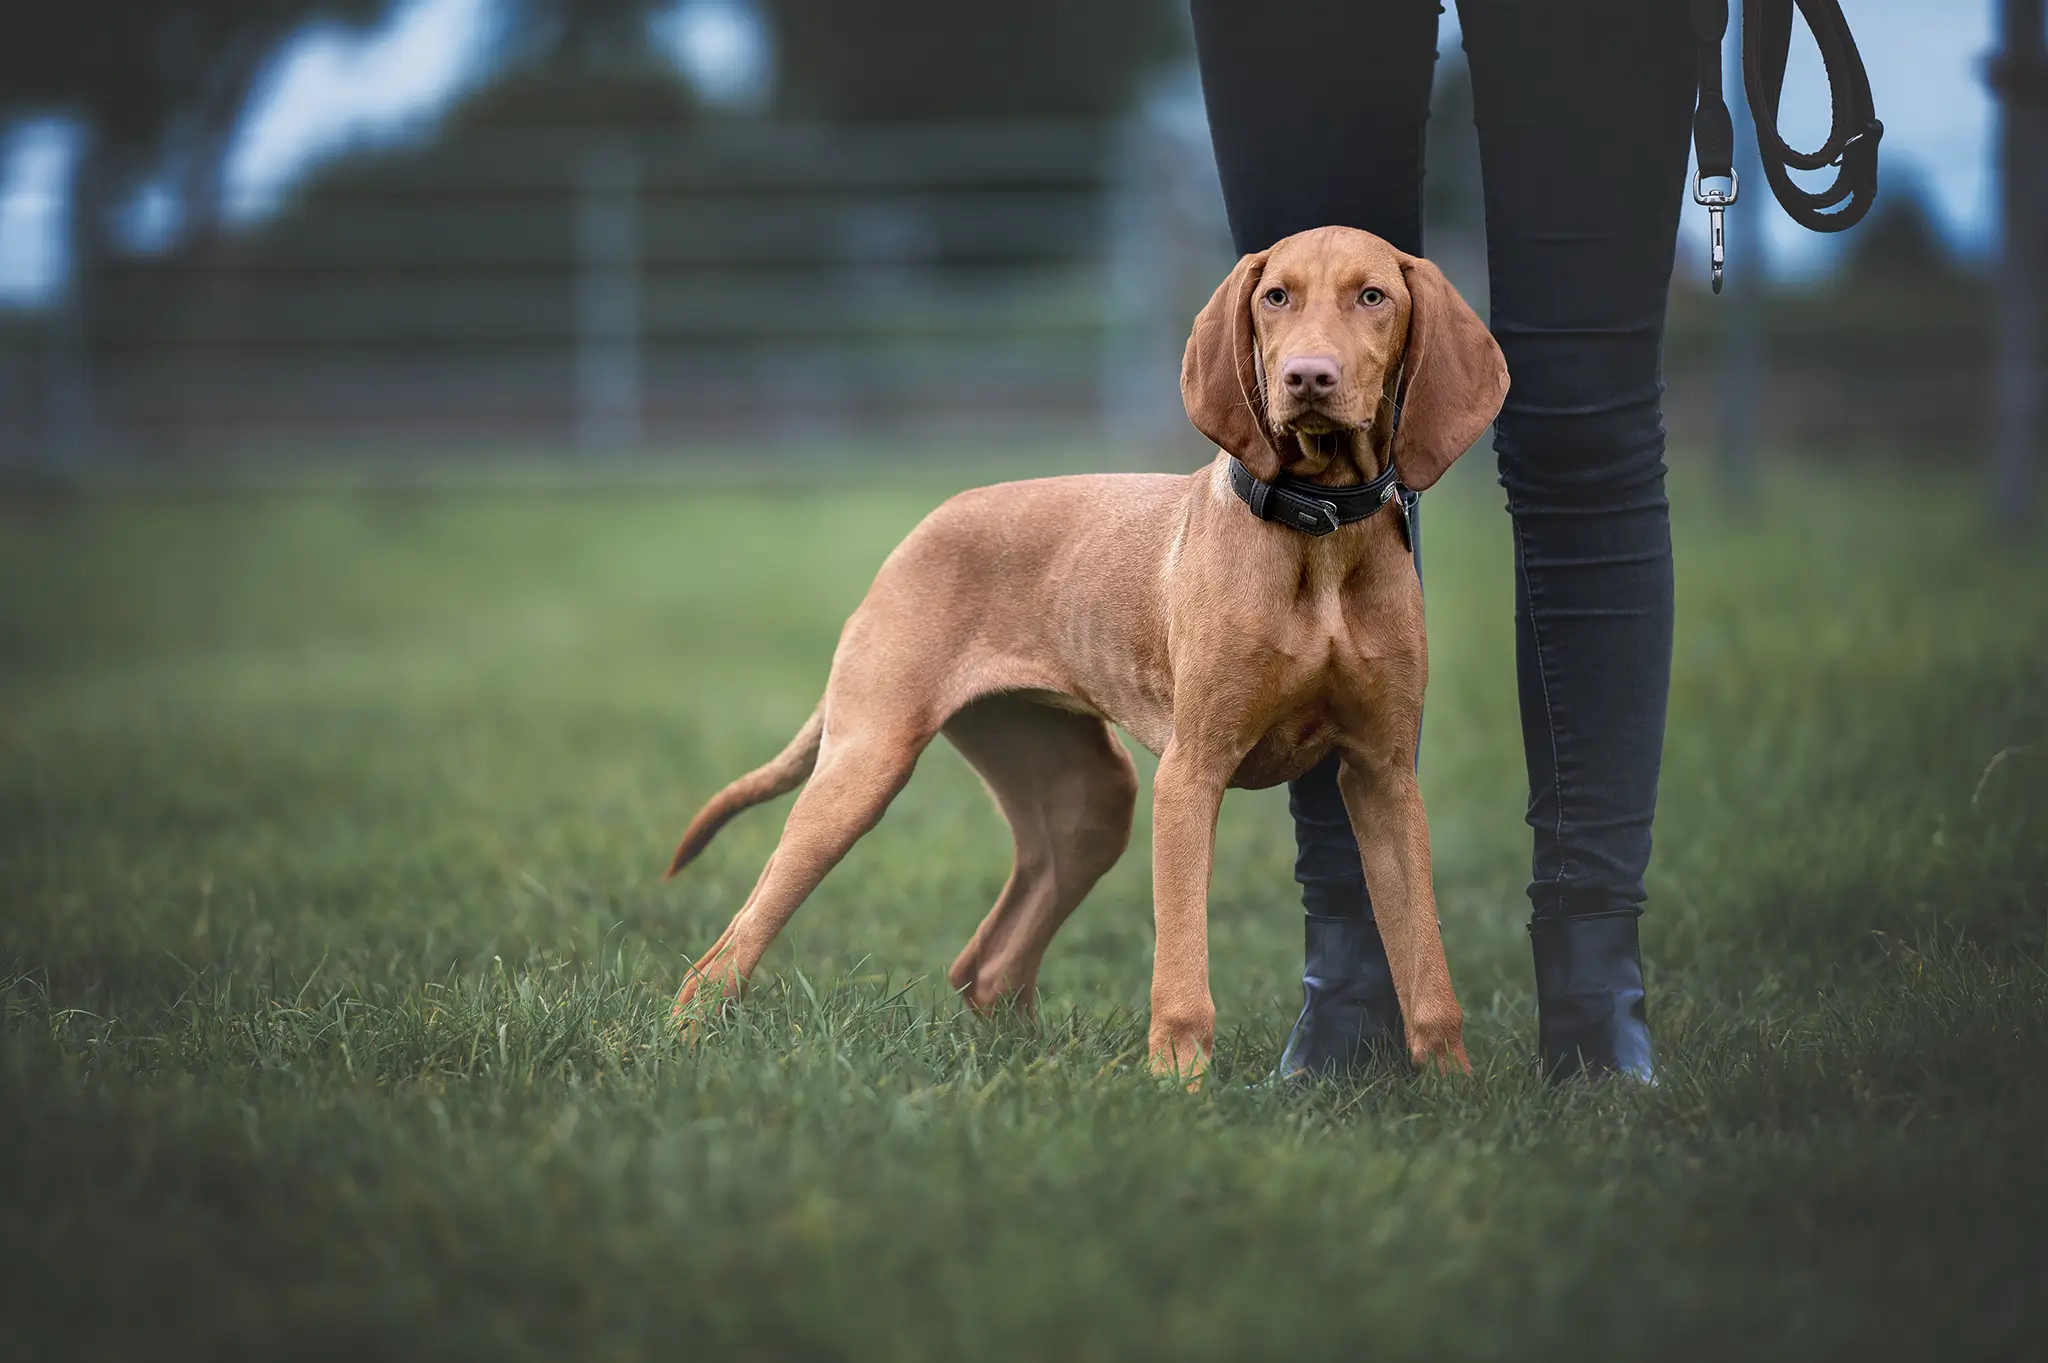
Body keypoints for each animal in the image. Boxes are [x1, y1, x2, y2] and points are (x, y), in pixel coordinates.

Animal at [667, 223, 1507, 1080]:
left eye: (1374, 296)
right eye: (1276, 296)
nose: (1308, 377)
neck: (1321, 535)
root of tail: (916, 534)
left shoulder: (1384, 775)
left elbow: (1426, 966)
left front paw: (1454, 1088)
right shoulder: (1190, 775)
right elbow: (1182, 968)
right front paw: (1178, 1085)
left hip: (1087, 798)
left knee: (987, 964)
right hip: (863, 768)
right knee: (724, 954)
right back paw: (683, 1048)